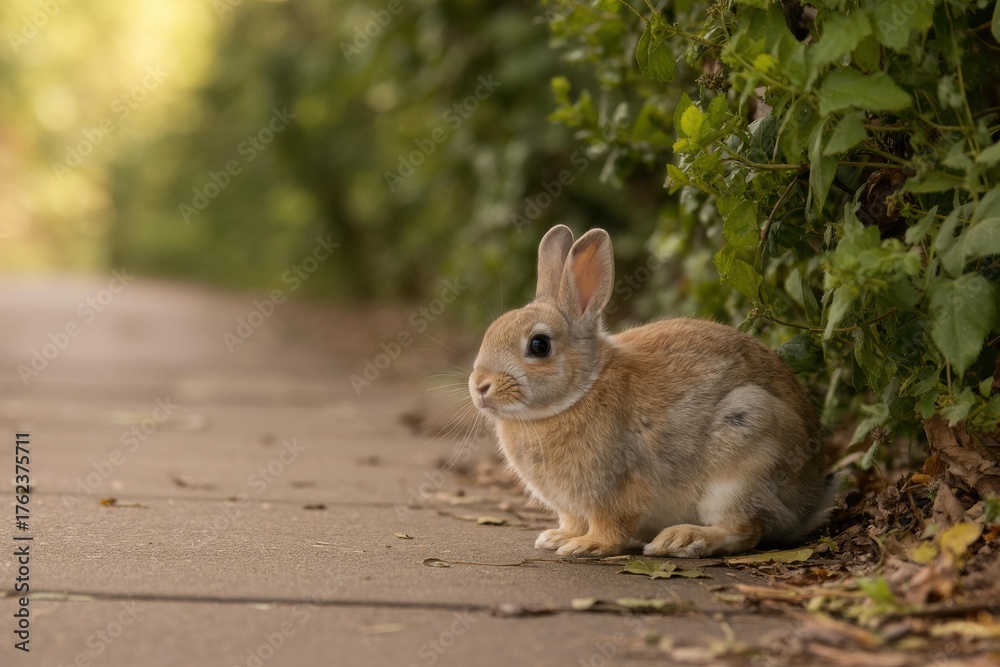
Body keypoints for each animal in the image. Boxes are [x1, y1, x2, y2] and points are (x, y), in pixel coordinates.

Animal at [468, 224, 834, 558]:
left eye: (539, 345)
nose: (480, 386)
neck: (581, 390)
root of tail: (810, 499)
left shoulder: (617, 490)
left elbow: (611, 525)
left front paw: (586, 546)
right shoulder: (572, 506)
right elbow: (573, 520)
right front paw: (558, 538)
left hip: (745, 449)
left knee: (745, 530)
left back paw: (682, 540)